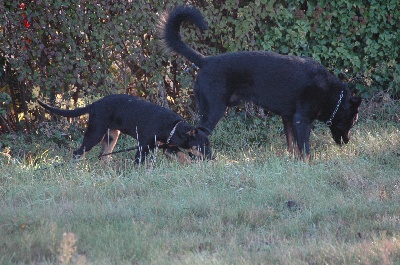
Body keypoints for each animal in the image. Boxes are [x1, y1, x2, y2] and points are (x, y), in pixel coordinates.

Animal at [38, 94, 212, 162]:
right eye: (202, 145)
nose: (212, 158)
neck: (172, 127)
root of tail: (94, 105)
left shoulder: (168, 147)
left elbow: (185, 156)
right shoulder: (143, 146)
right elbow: (138, 163)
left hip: (112, 136)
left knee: (104, 156)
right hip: (95, 133)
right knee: (77, 153)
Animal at [159, 5, 362, 160]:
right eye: (352, 122)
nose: (347, 142)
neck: (331, 94)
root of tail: (205, 61)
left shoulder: (288, 119)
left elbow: (292, 146)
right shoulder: (301, 120)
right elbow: (305, 150)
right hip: (214, 110)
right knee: (198, 136)